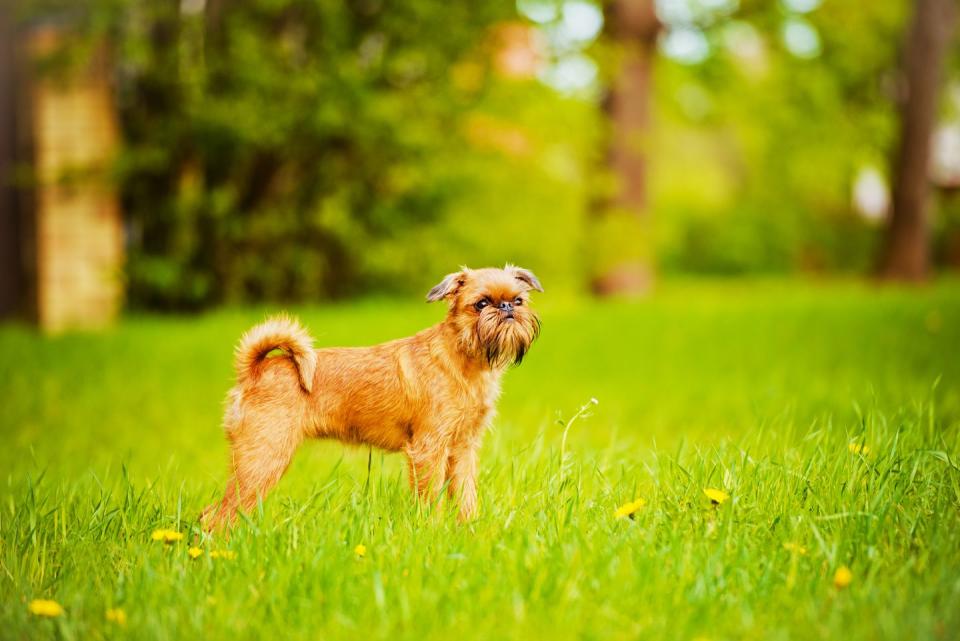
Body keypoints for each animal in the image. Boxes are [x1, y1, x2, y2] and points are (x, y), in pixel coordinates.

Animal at [202, 262, 544, 528]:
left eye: (519, 300)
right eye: (481, 304)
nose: (506, 308)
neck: (464, 360)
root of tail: (254, 369)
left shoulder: (462, 448)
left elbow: (465, 494)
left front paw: (468, 529)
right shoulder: (429, 448)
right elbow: (430, 496)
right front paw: (431, 530)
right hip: (264, 456)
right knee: (217, 515)